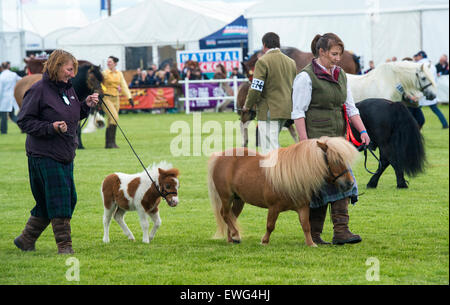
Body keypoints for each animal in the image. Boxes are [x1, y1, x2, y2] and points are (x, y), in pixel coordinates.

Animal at [207, 137, 358, 246]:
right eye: (336, 161)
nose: (350, 184)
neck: (294, 175)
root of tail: (219, 156)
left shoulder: (302, 207)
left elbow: (306, 225)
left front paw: (311, 243)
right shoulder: (273, 208)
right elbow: (270, 225)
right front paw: (264, 241)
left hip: (239, 200)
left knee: (231, 216)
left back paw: (232, 238)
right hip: (226, 197)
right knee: (225, 214)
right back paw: (235, 234)